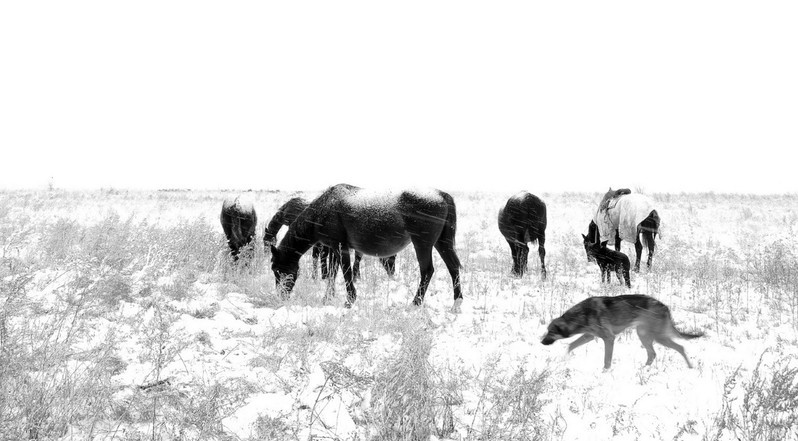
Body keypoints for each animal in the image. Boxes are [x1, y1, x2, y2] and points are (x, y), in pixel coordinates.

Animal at [540, 294, 704, 370]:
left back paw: (690, 367)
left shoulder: (608, 338)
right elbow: (570, 346)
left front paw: (604, 373)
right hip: (644, 335)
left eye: (550, 332)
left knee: (680, 347)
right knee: (652, 354)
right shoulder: (589, 336)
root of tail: (665, 307)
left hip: (657, 337)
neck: (581, 315)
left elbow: (607, 360)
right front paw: (564, 359)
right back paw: (644, 369)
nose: (541, 342)